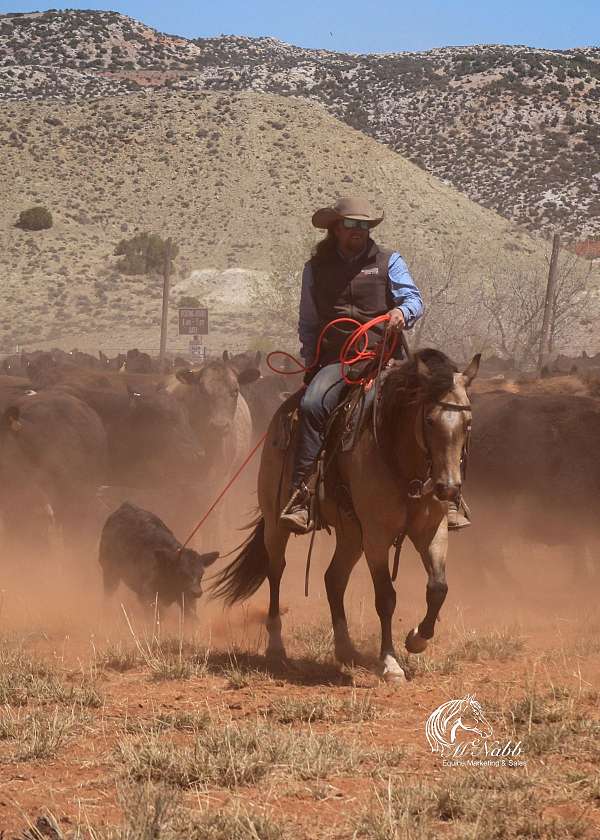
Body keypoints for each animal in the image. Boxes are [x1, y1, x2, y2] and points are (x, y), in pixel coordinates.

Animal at [211, 348, 478, 684]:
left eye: (467, 422)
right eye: (429, 420)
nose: (448, 488)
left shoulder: (432, 530)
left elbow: (438, 588)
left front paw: (417, 638)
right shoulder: (376, 536)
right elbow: (386, 598)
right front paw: (390, 663)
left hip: (351, 533)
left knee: (333, 578)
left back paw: (346, 649)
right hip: (276, 522)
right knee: (276, 571)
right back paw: (276, 647)